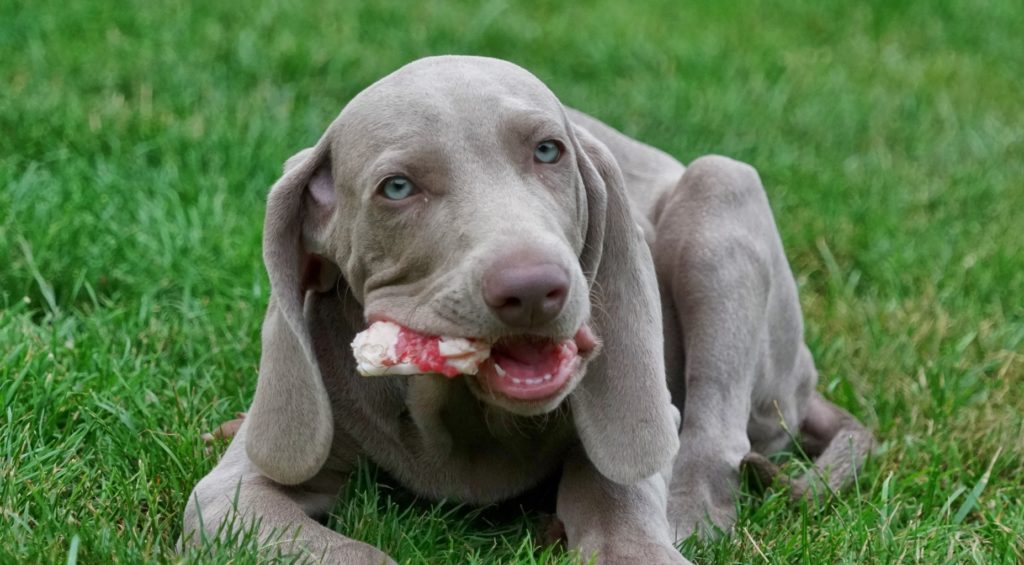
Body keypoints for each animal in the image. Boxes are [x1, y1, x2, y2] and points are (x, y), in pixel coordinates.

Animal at [184, 56, 872, 565]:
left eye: (548, 151)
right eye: (397, 188)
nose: (535, 288)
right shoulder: (229, 501)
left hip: (722, 192)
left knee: (715, 437)